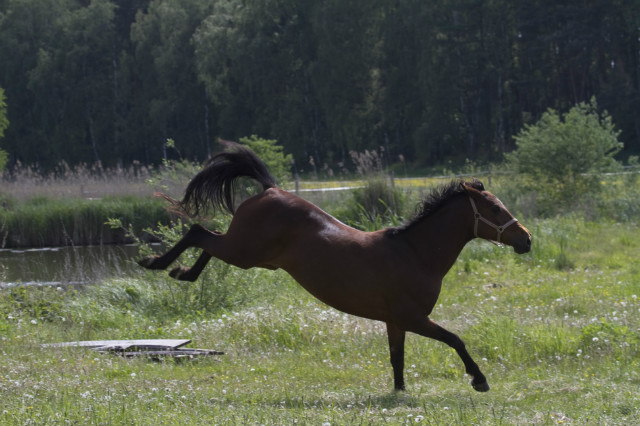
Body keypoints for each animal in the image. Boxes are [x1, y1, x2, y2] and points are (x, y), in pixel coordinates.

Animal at [140, 144, 528, 392]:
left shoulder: (395, 322)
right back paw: (156, 263)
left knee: (207, 243)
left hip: (253, 256)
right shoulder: (414, 318)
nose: (526, 240)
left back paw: (181, 273)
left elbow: (397, 359)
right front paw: (479, 380)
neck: (415, 253)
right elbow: (455, 340)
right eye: (494, 209)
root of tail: (270, 189)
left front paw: (400, 392)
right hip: (244, 252)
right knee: (198, 233)